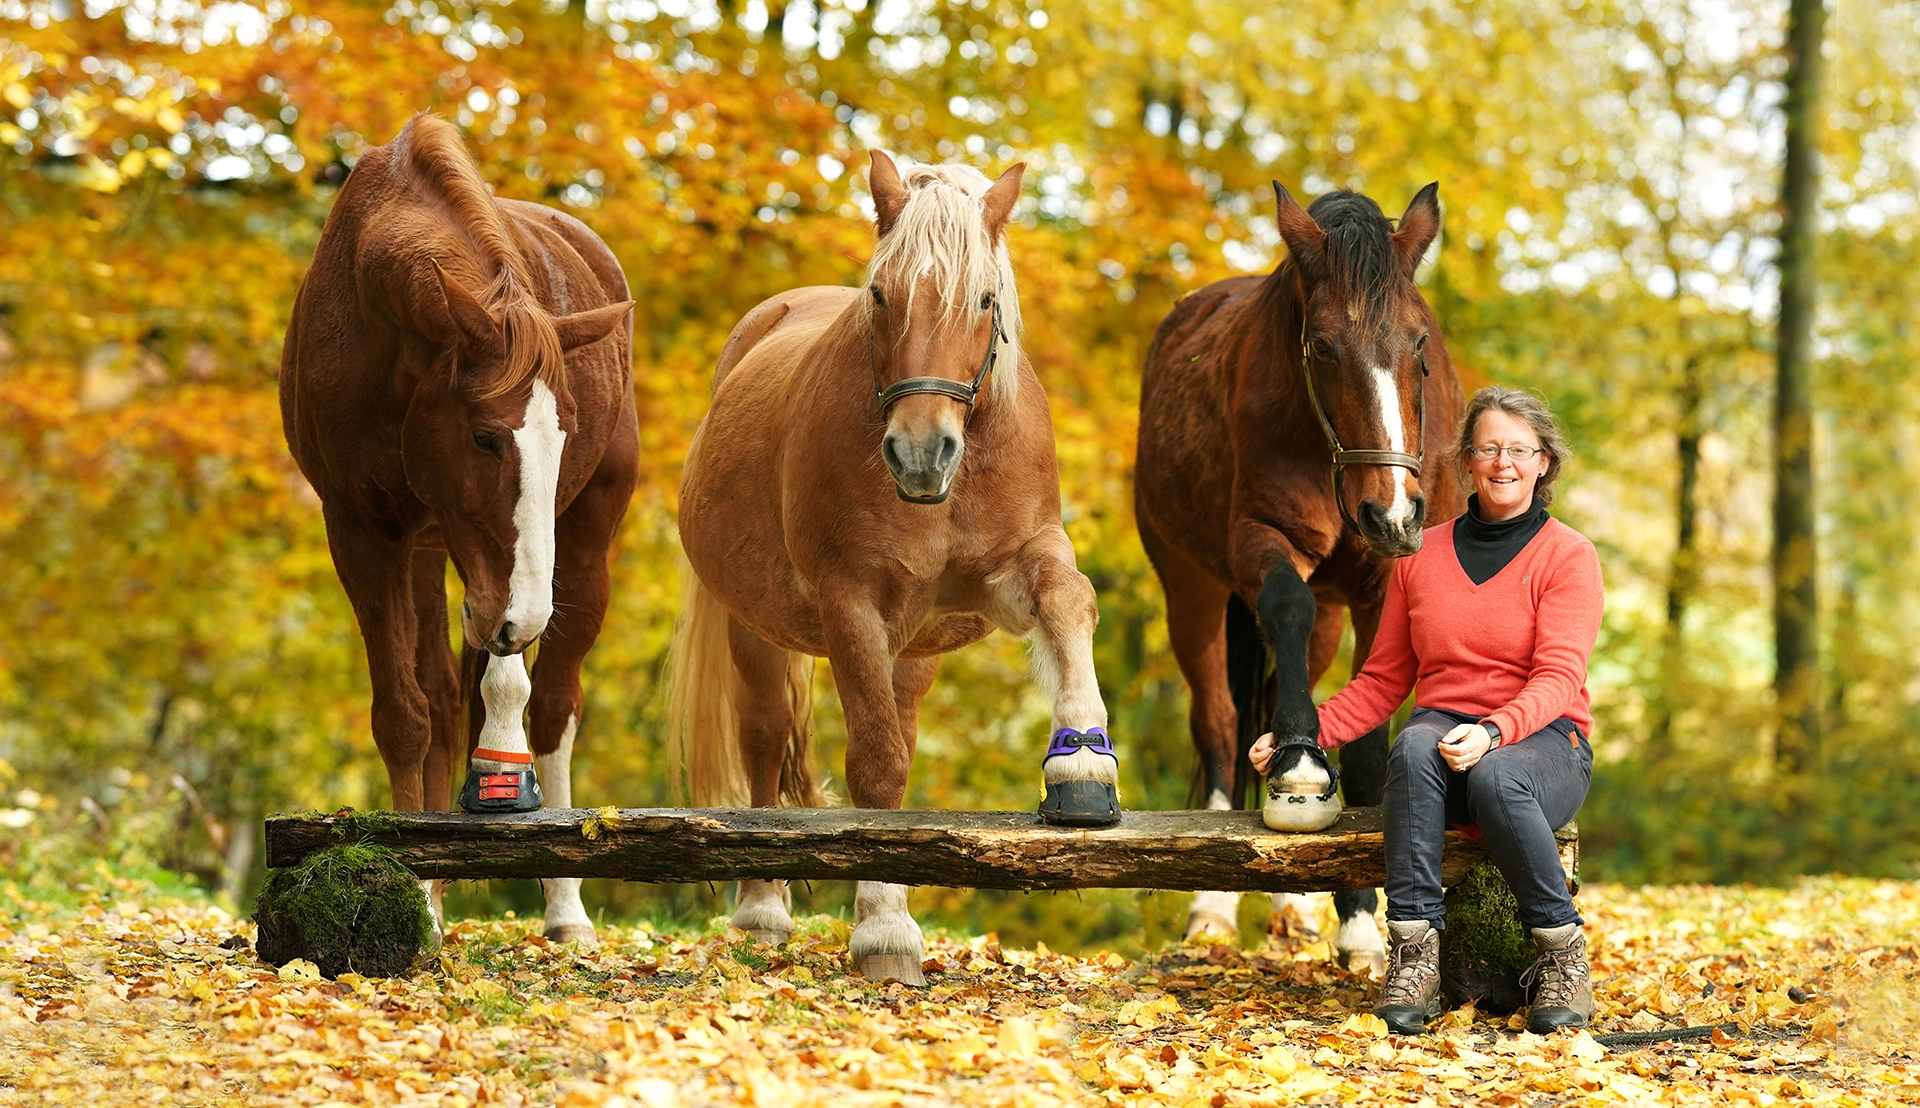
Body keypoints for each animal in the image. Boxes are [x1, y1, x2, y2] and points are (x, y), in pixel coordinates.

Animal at [280, 116, 637, 952]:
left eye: (563, 437)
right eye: (483, 436)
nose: (525, 616)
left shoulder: (501, 581)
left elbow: (504, 695)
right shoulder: (364, 532)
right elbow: (407, 714)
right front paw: (416, 890)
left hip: (574, 548)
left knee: (548, 704)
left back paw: (565, 906)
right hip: (433, 555)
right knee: (448, 700)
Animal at [672, 148, 1113, 983]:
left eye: (983, 299)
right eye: (881, 294)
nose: (920, 452)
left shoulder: (1008, 572)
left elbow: (1069, 599)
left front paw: (1084, 764)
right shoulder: (850, 603)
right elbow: (875, 764)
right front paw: (883, 929)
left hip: (914, 647)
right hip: (758, 631)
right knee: (764, 738)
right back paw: (761, 909)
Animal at [1128, 183, 1459, 975]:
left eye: (1419, 345)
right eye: (1322, 347)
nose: (1391, 512)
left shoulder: (1381, 582)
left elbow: (1367, 741)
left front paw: (1360, 924)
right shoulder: (1260, 542)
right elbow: (1285, 601)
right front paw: (1301, 767)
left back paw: (1297, 907)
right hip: (1190, 592)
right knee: (1220, 726)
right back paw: (1214, 906)